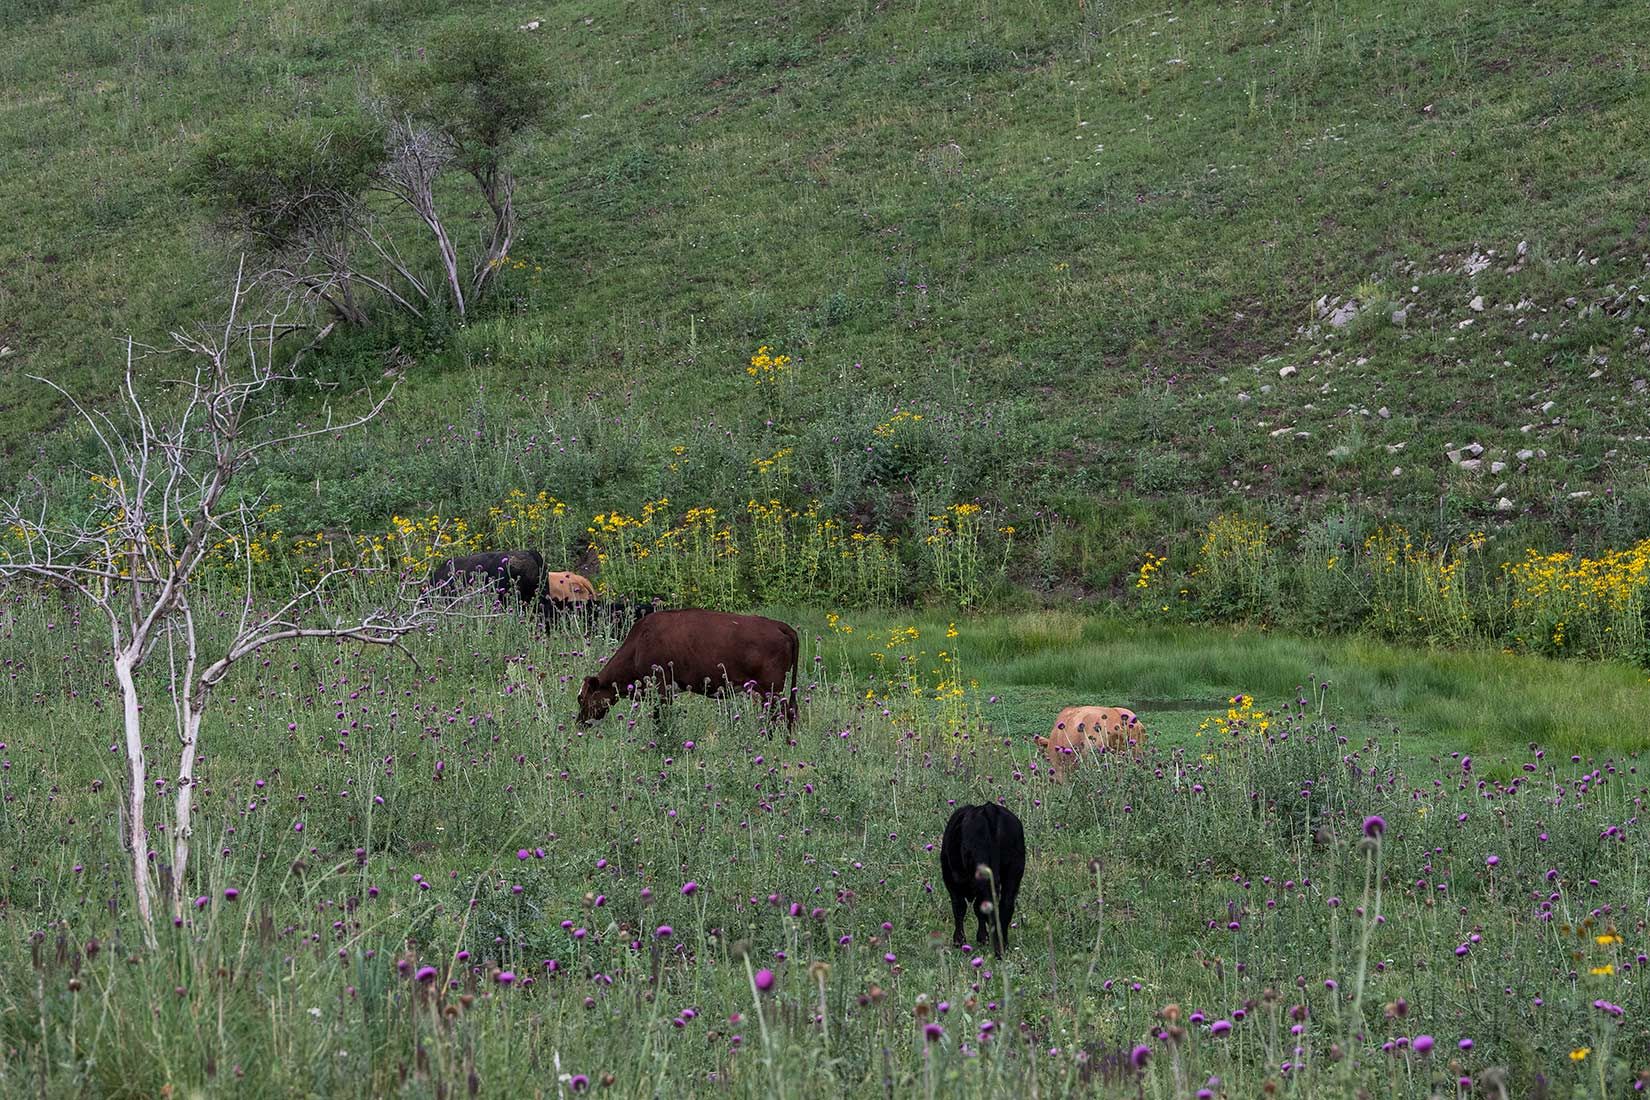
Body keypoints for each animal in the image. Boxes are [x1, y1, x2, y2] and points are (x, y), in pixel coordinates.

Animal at [576, 610, 800, 729]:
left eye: (581, 699)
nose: (578, 724)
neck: (638, 644)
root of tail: (778, 625)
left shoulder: (661, 687)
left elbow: (660, 720)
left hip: (770, 688)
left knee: (782, 715)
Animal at [940, 803, 1026, 956]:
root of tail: (988, 808)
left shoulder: (951, 880)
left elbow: (959, 907)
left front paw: (959, 940)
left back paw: (998, 950)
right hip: (1014, 869)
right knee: (1006, 905)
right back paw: (1003, 945)